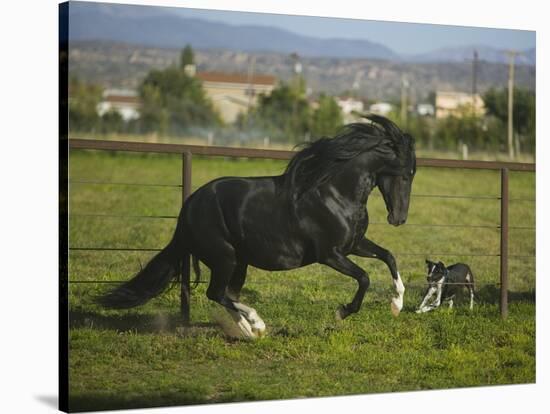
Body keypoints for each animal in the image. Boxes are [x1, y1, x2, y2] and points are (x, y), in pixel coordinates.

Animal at [99, 113, 418, 336]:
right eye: (405, 174)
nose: (399, 219)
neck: (334, 192)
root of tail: (190, 206)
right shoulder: (330, 254)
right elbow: (364, 277)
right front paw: (342, 312)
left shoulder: (353, 245)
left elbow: (389, 257)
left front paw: (398, 305)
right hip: (225, 257)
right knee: (216, 293)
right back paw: (256, 324)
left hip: (239, 262)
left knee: (225, 294)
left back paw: (249, 330)